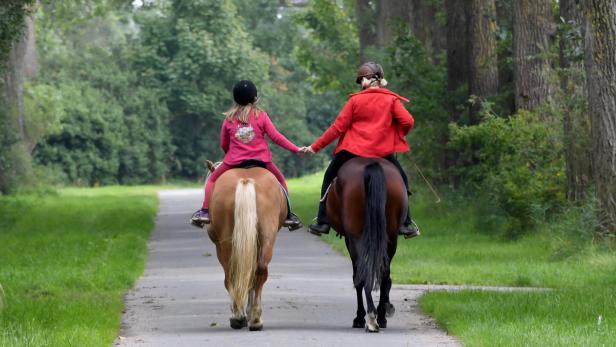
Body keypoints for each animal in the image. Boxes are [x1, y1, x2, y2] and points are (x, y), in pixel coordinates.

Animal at [205, 162, 286, 332]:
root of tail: (245, 180)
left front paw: (243, 313)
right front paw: (247, 312)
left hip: (225, 244)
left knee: (232, 275)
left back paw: (240, 317)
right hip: (266, 238)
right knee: (259, 271)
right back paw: (254, 319)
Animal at [324, 158, 406, 334]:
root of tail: (371, 165)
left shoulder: (350, 240)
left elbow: (357, 277)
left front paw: (359, 318)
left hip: (355, 237)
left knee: (362, 276)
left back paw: (371, 317)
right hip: (390, 236)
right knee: (383, 274)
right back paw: (379, 315)